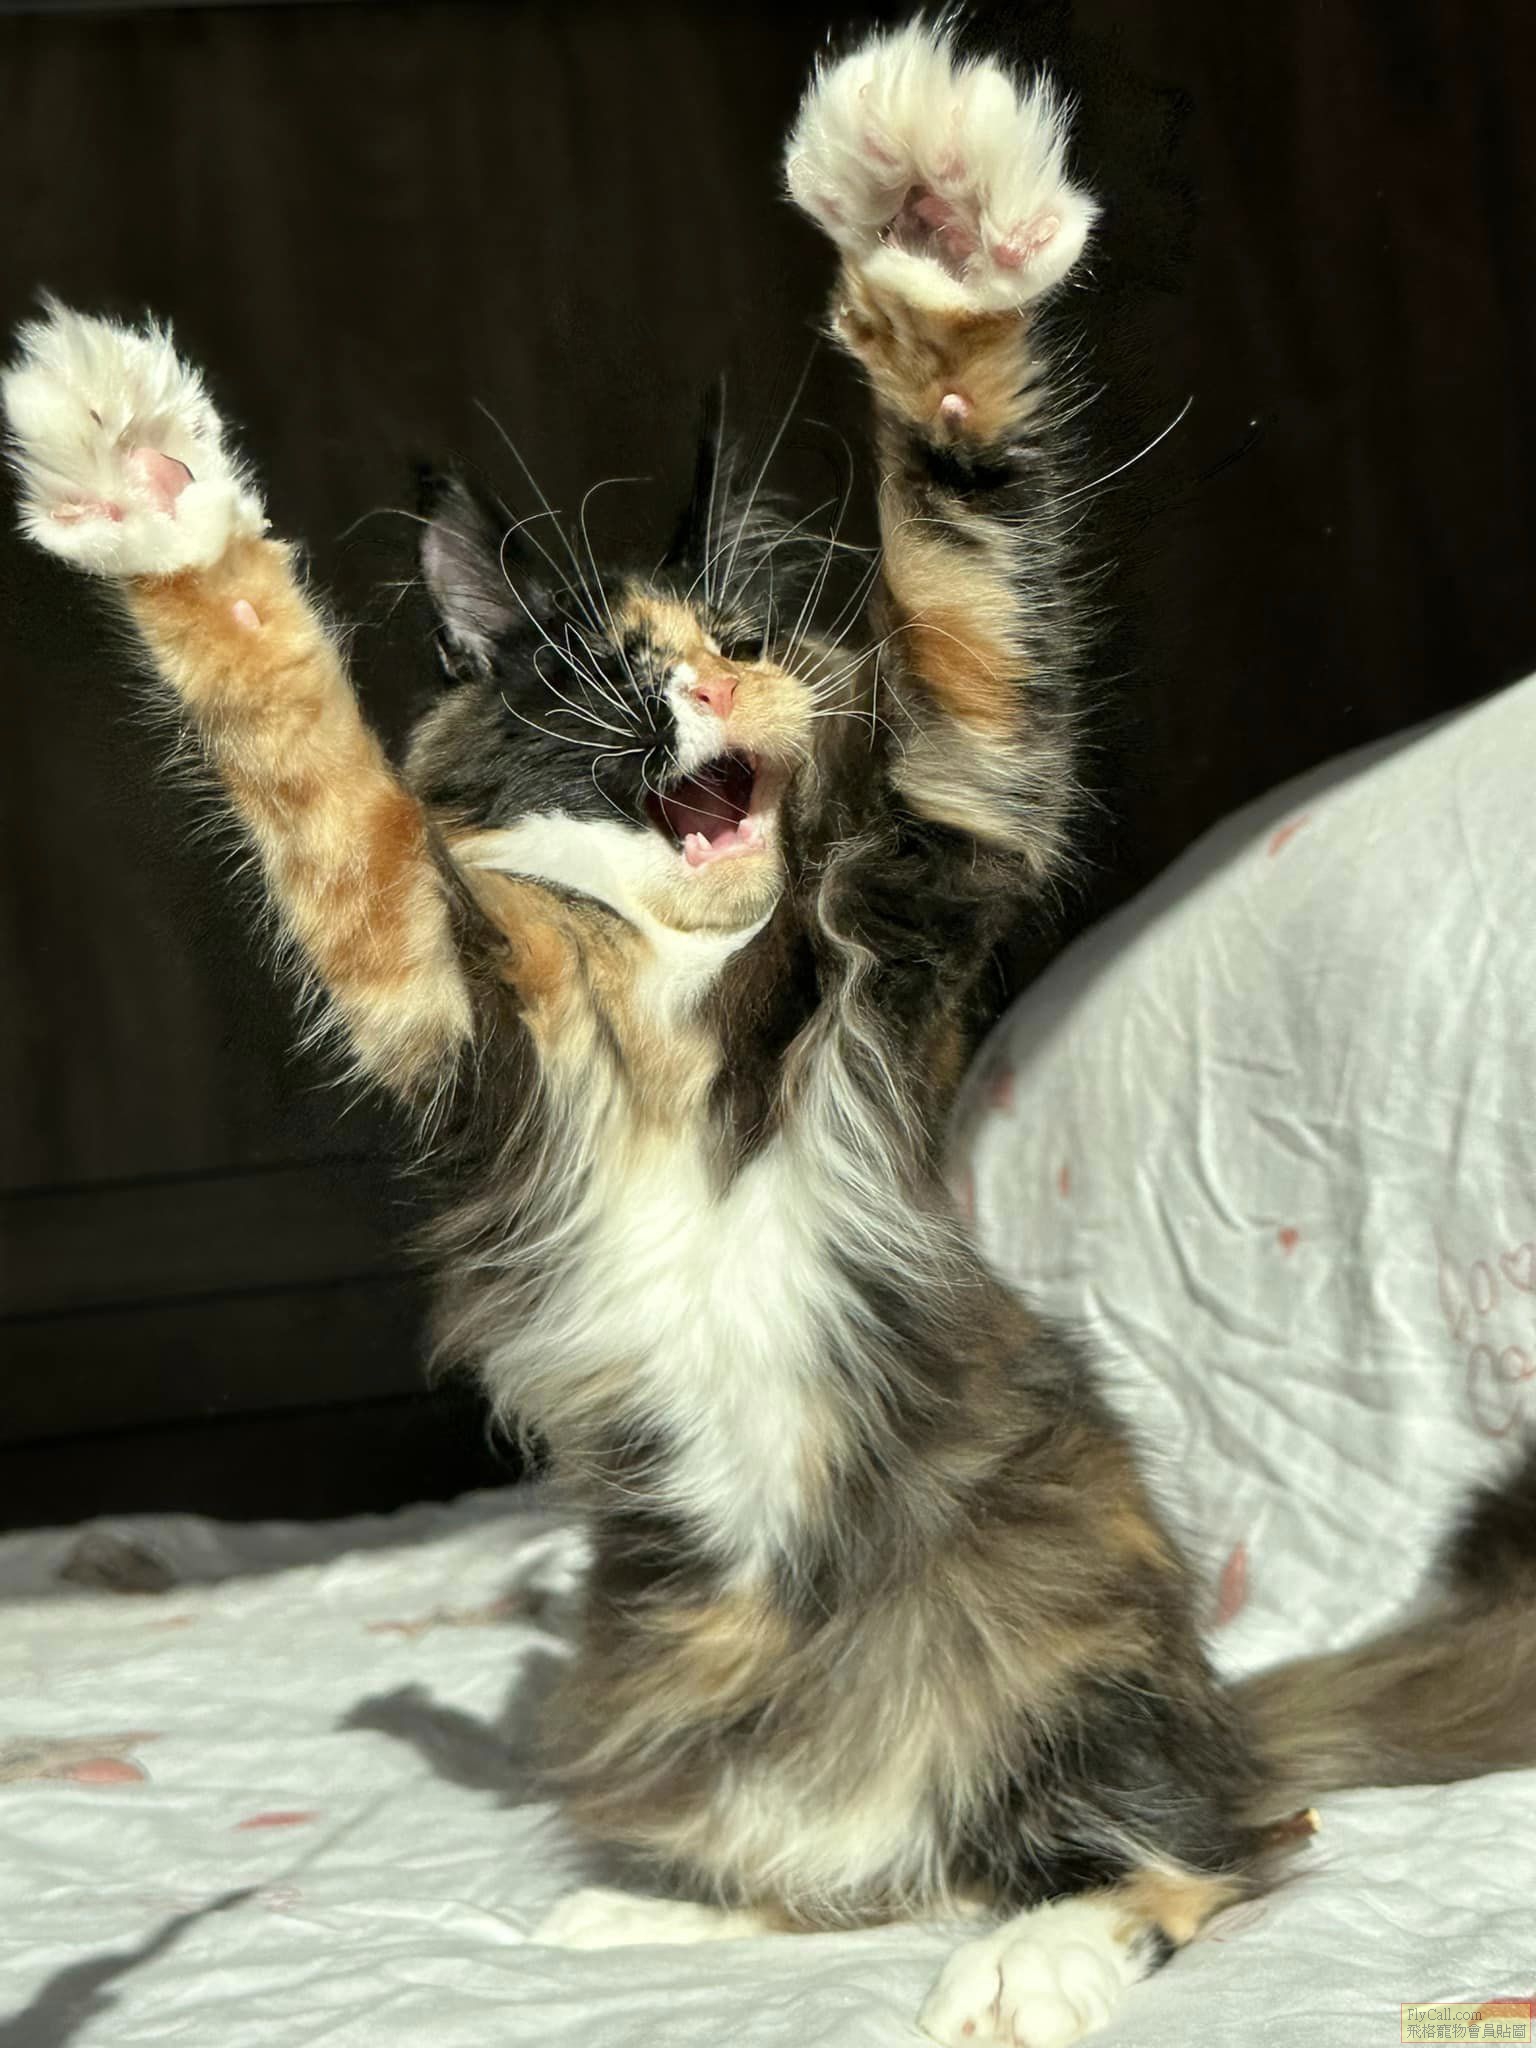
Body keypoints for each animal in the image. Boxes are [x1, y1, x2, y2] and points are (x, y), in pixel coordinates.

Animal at [6, 21, 1534, 2046]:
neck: (676, 982)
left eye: (734, 633)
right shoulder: (431, 982)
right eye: (604, 674)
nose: (717, 687)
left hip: (1065, 1644)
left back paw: (1031, 1952)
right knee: (860, 1870)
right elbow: (300, 752)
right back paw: (648, 1915)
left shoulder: (943, 848)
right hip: (673, 1687)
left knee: (1206, 1845)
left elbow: (959, 574)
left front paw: (932, 236)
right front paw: (146, 477)